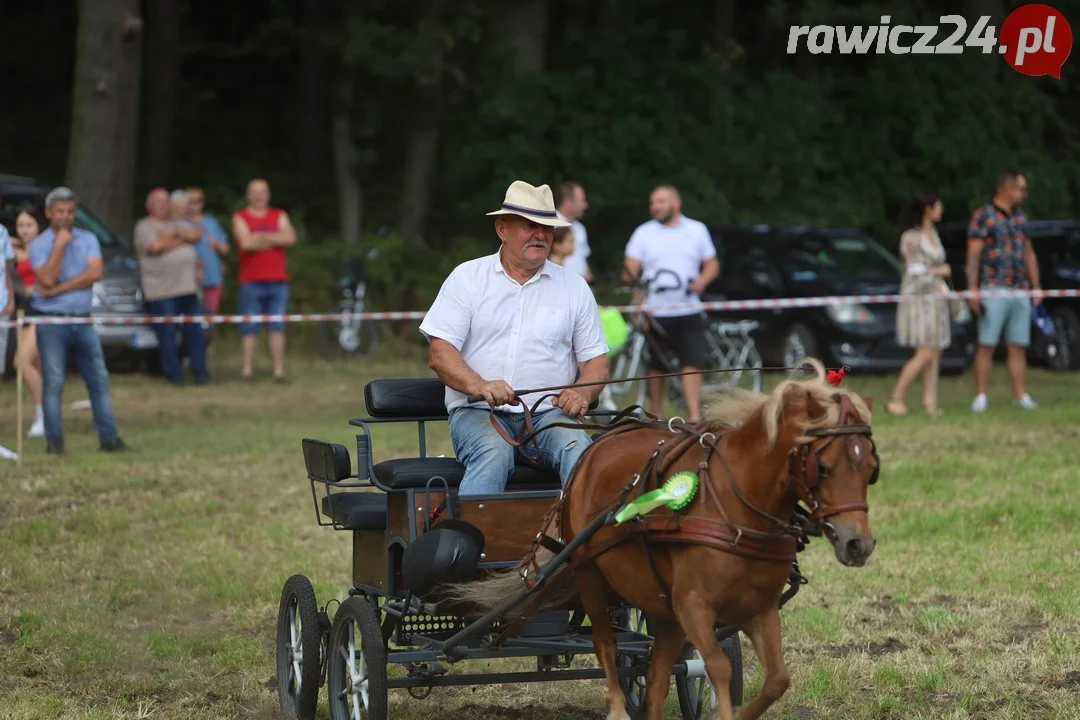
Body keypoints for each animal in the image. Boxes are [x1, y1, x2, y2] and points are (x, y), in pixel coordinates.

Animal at [451, 362, 881, 720]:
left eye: (872, 470)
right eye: (823, 466)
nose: (857, 544)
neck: (736, 506)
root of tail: (601, 441)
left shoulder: (757, 608)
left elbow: (776, 680)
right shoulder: (694, 603)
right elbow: (717, 667)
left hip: (661, 604)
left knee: (654, 676)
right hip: (591, 576)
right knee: (607, 647)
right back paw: (618, 708)